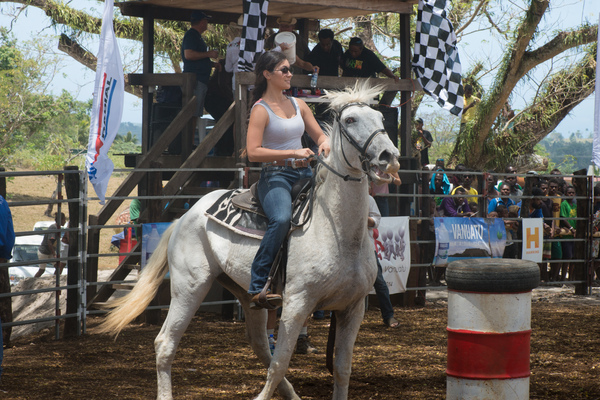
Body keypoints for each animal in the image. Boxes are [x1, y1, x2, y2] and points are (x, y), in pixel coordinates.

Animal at [99, 82, 398, 400]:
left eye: (381, 118)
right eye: (351, 120)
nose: (389, 156)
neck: (337, 232)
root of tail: (186, 216)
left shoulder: (353, 308)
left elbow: (342, 368)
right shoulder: (297, 303)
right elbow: (280, 363)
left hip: (246, 293)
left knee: (258, 344)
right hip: (189, 286)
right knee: (165, 342)